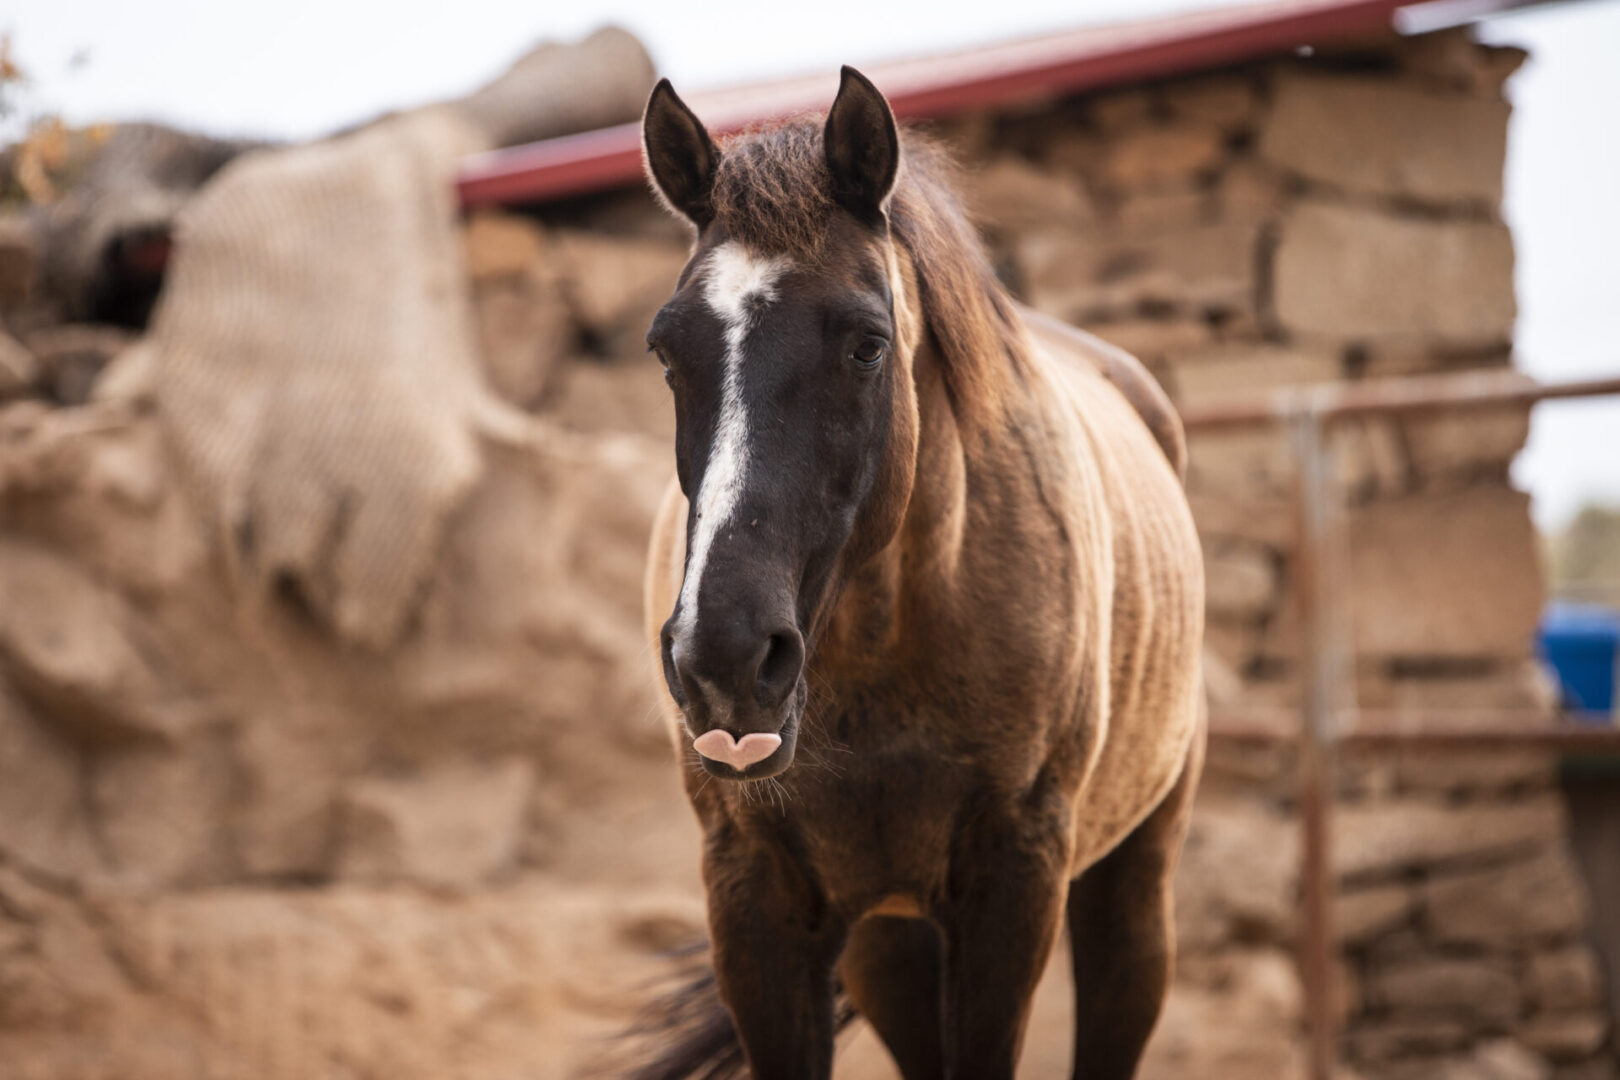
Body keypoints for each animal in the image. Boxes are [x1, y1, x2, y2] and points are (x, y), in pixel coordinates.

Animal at [629, 66, 1206, 1080]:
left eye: (867, 342)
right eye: (668, 350)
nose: (724, 660)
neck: (883, 654)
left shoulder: (1014, 885)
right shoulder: (756, 900)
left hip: (1130, 889)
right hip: (887, 941)